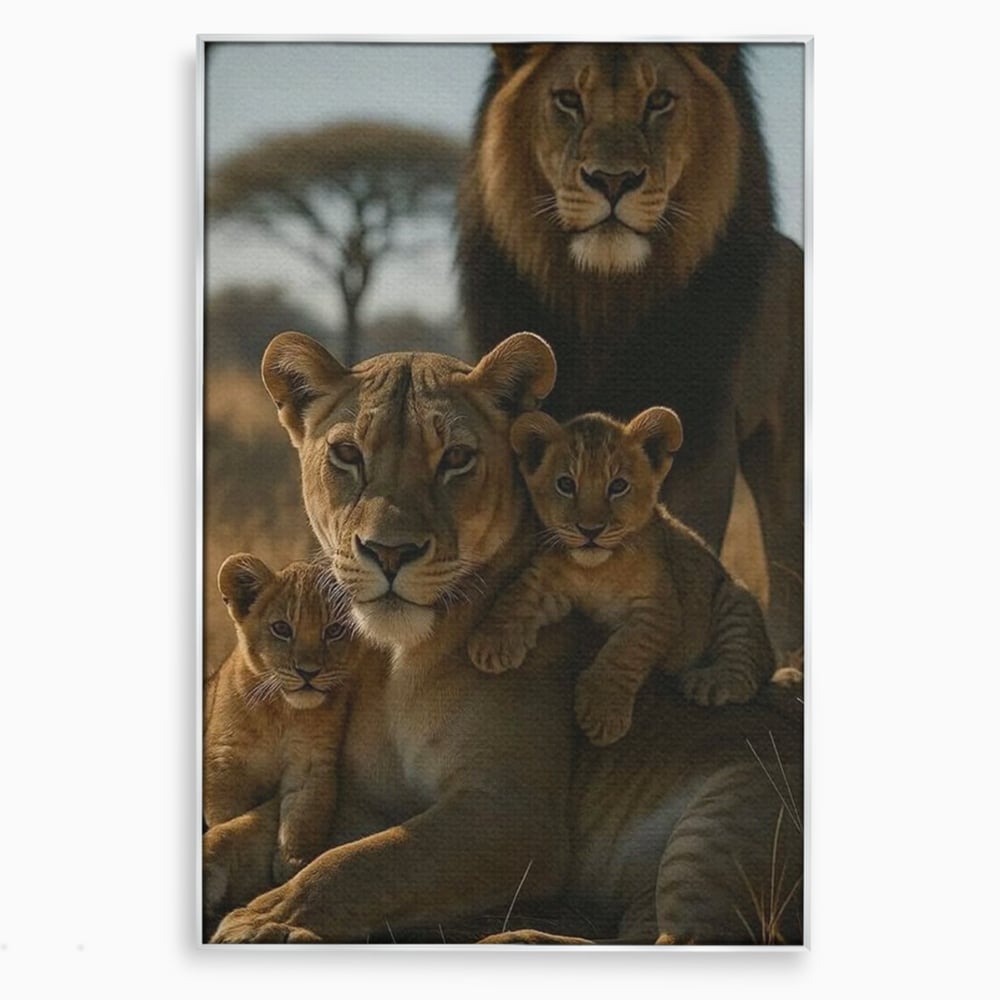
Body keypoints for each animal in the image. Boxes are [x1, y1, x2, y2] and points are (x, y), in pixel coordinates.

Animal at [468, 408, 775, 747]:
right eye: (566, 484)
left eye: (617, 486)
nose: (590, 530)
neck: (596, 570)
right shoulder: (546, 582)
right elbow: (516, 596)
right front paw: (491, 643)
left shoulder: (661, 609)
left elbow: (625, 651)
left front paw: (602, 714)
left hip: (735, 599)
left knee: (749, 667)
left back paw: (707, 681)